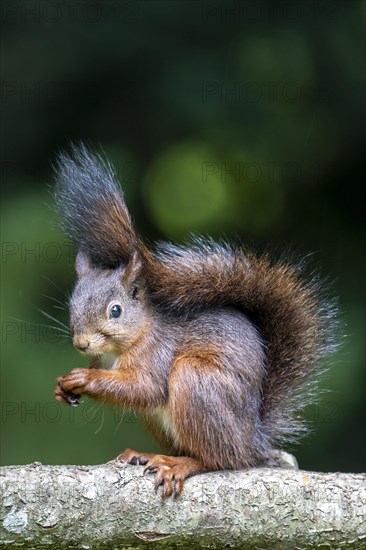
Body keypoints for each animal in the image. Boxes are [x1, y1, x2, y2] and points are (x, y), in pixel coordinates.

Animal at [52, 144, 338, 498]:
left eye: (115, 311)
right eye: (72, 304)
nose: (81, 343)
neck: (128, 341)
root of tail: (251, 441)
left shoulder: (157, 355)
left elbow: (144, 388)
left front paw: (84, 378)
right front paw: (62, 387)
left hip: (196, 382)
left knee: (219, 459)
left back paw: (181, 464)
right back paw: (147, 454)